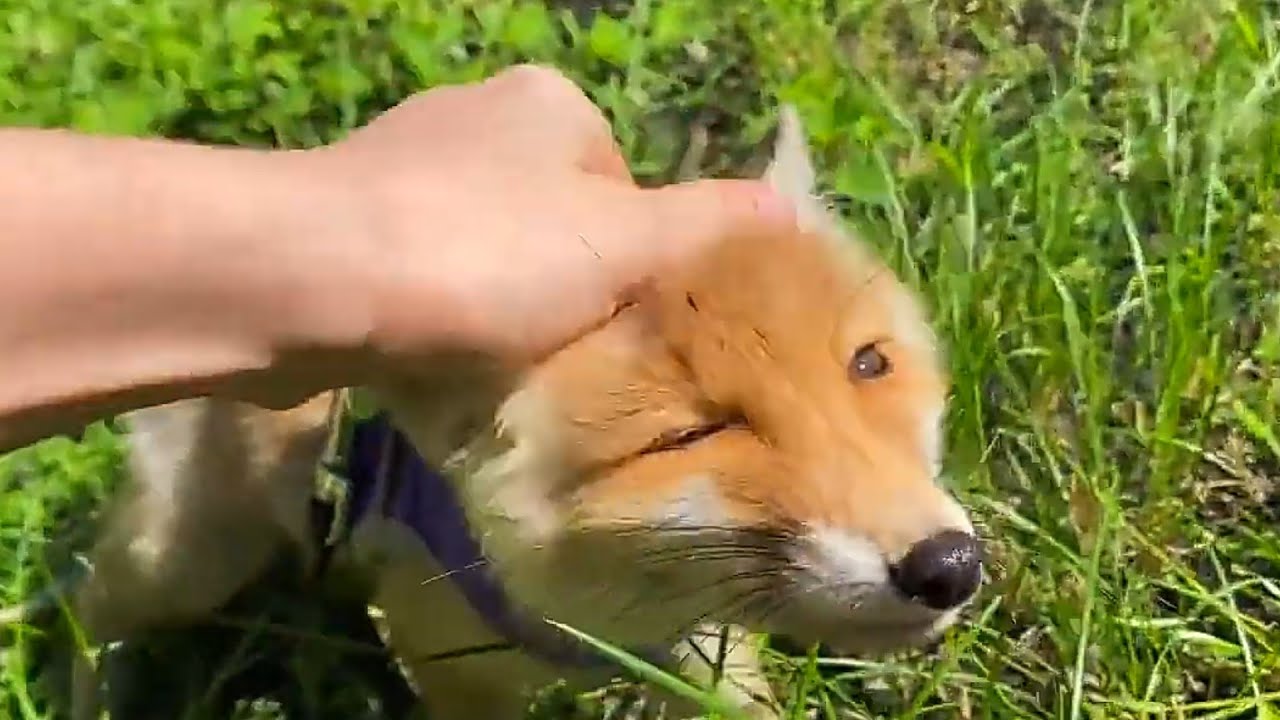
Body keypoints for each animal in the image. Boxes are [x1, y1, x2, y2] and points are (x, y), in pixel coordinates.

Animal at [61, 104, 984, 720]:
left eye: (868, 365)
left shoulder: (703, 656)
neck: (596, 617)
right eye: (690, 434)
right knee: (90, 611)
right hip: (183, 567)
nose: (949, 566)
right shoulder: (449, 666)